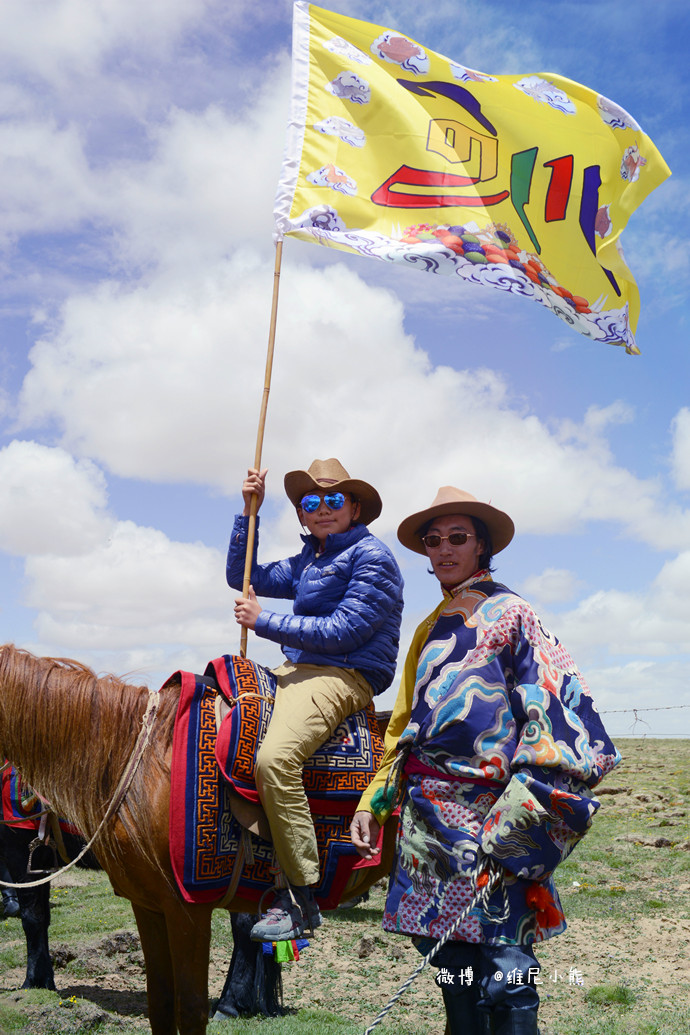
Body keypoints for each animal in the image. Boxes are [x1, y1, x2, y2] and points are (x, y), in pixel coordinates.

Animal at [0, 645, 393, 1035]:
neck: (140, 765)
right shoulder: (147, 904)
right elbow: (160, 1001)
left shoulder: (185, 908)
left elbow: (188, 1007)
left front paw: (36, 982)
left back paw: (232, 1002)